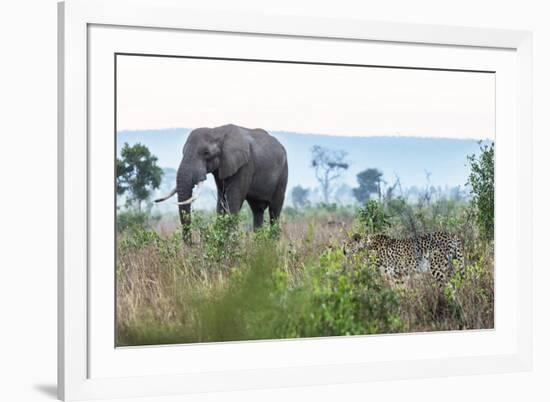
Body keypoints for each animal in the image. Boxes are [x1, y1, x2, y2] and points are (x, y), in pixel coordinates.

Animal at [153, 123, 286, 239]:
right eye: (182, 152)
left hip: (283, 174)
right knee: (257, 210)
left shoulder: (245, 165)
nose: (191, 245)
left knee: (274, 211)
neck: (217, 131)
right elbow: (221, 201)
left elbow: (232, 202)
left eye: (206, 153)